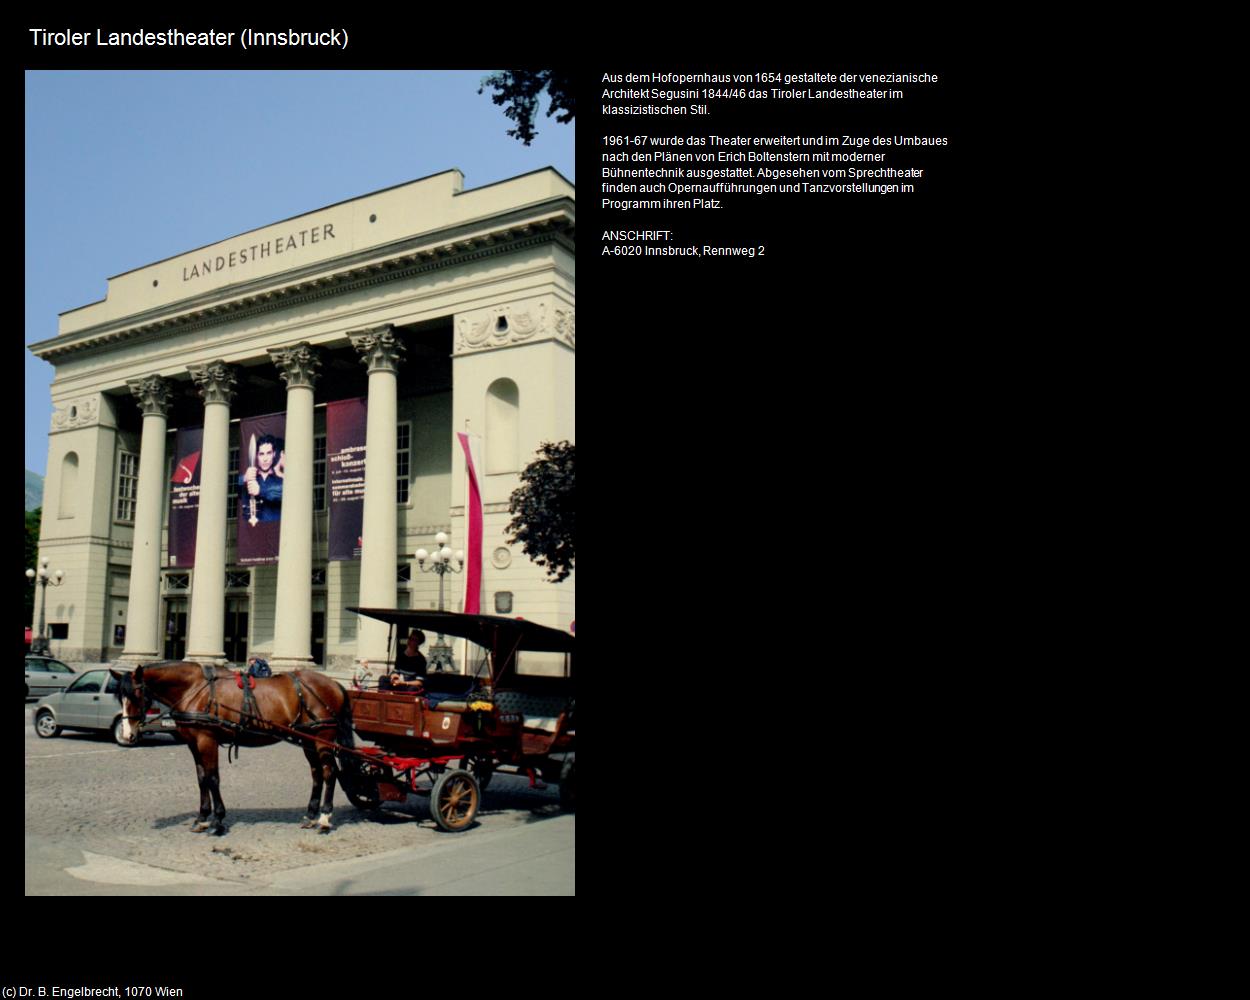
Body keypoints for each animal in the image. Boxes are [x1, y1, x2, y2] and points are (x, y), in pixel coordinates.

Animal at [110, 665, 355, 835]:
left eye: (136, 696)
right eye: (119, 697)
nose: (128, 735)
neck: (195, 690)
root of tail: (335, 684)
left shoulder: (207, 741)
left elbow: (213, 778)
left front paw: (217, 820)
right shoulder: (193, 743)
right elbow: (201, 779)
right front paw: (202, 818)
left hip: (323, 738)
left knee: (329, 773)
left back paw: (324, 818)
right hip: (307, 740)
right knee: (316, 774)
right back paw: (311, 815)